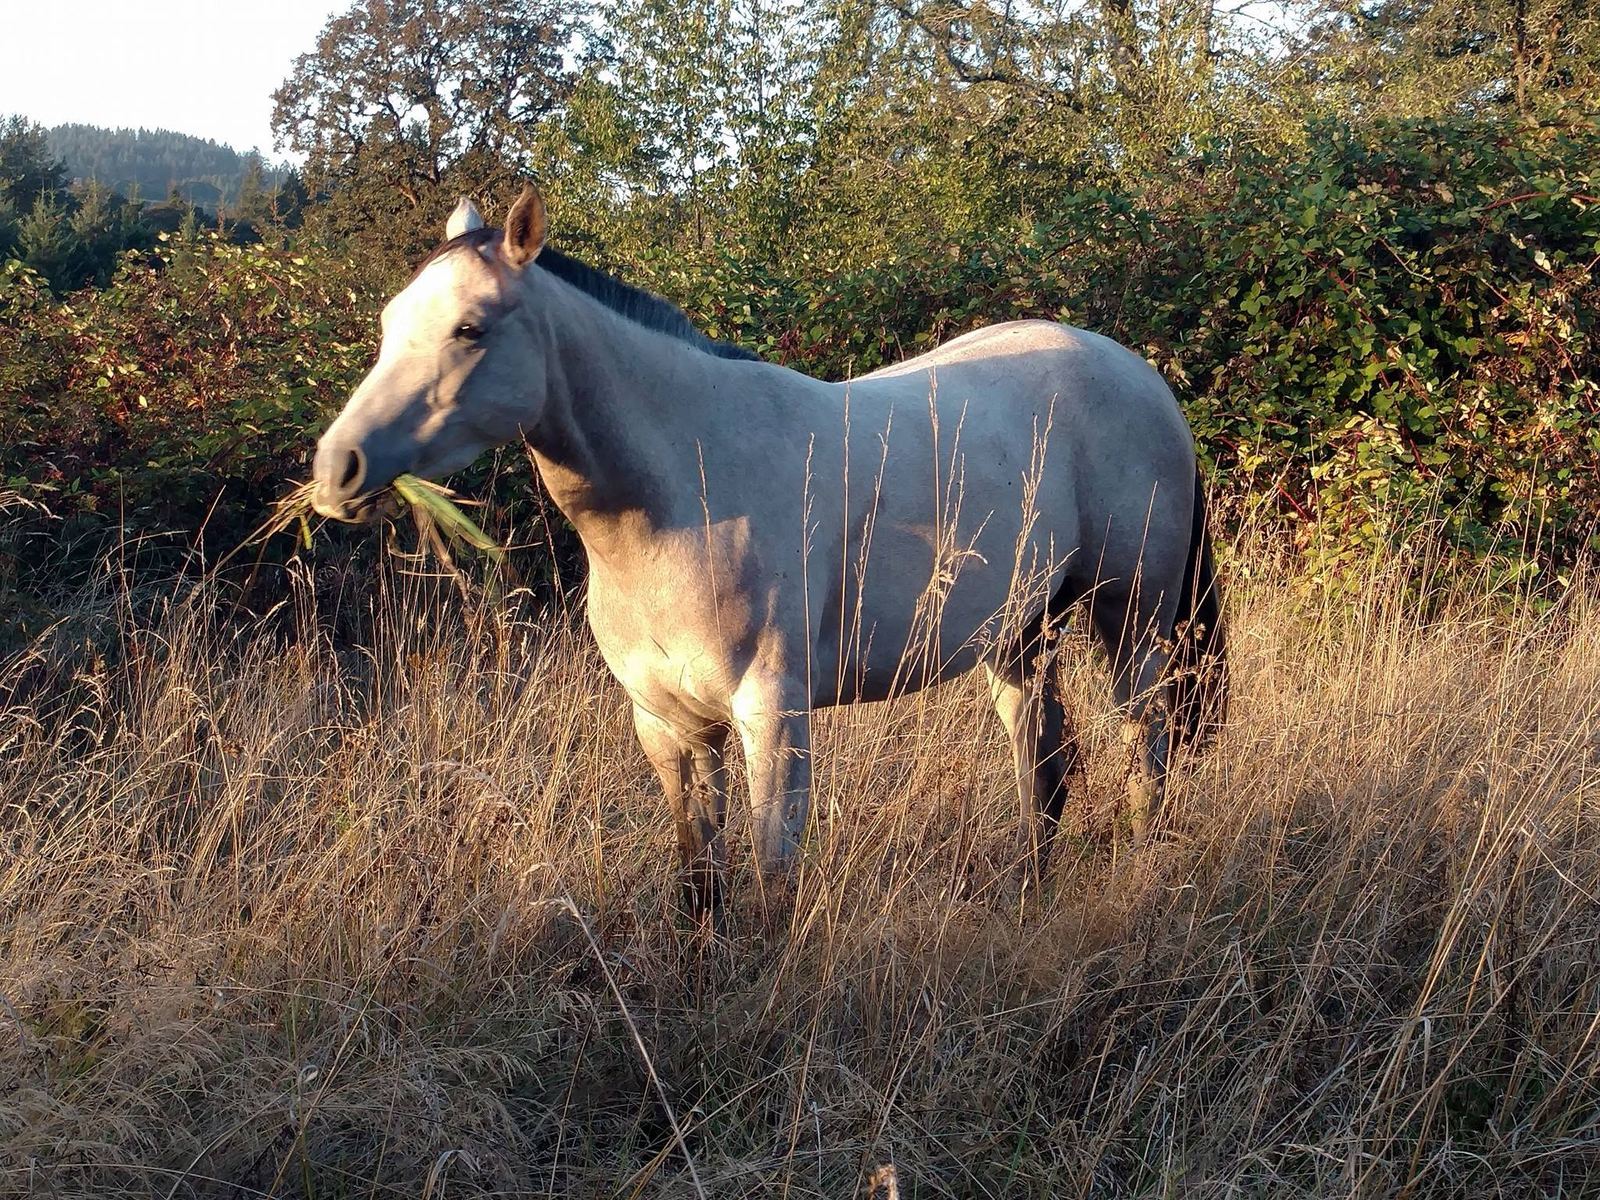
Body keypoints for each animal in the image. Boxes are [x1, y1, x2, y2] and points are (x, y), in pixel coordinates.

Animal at [310, 185, 1227, 912]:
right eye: (391, 324)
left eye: (469, 328)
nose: (336, 467)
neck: (683, 493)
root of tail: (1144, 379)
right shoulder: (668, 727)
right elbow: (697, 875)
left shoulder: (771, 716)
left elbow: (772, 875)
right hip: (1021, 636)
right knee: (1043, 764)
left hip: (1134, 620)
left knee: (1146, 749)